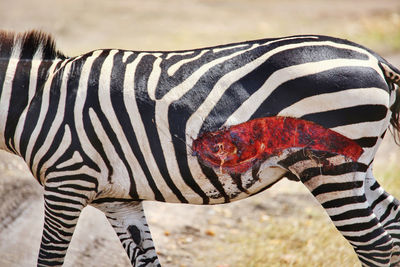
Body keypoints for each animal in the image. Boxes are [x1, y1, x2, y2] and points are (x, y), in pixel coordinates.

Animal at [0, 30, 400, 266]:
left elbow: (48, 258)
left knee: (374, 245)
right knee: (392, 228)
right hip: (356, 166)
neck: (35, 100)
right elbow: (146, 259)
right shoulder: (117, 198)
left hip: (330, 170)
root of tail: (373, 58)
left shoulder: (67, 181)